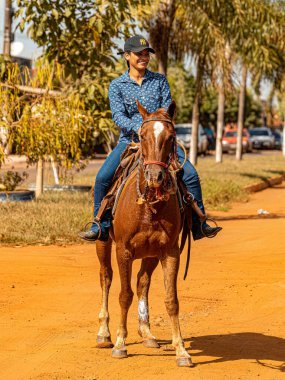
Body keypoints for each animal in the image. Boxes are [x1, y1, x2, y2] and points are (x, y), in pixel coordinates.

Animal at [95, 99, 193, 366]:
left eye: (171, 137)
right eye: (141, 135)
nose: (155, 176)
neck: (149, 205)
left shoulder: (170, 252)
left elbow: (171, 300)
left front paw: (181, 350)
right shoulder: (123, 251)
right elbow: (124, 295)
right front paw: (120, 343)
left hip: (150, 254)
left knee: (142, 282)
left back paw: (147, 333)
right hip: (102, 243)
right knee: (106, 278)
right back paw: (104, 333)